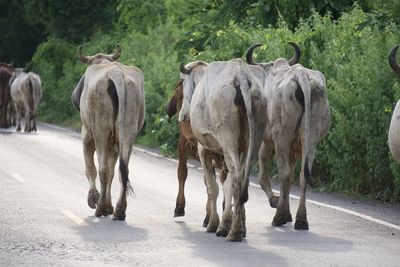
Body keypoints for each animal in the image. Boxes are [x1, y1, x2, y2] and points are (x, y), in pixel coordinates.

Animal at [72, 44, 145, 222]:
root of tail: (116, 74)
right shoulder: (114, 144)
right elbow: (113, 172)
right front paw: (109, 205)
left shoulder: (87, 136)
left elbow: (90, 168)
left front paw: (94, 198)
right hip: (128, 131)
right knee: (122, 170)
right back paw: (119, 210)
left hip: (100, 131)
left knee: (103, 169)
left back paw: (100, 208)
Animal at [247, 43, 332, 230]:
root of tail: (302, 76)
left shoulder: (267, 141)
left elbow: (264, 175)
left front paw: (275, 201)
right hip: (310, 139)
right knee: (302, 176)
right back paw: (301, 219)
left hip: (282, 137)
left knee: (284, 174)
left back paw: (279, 217)